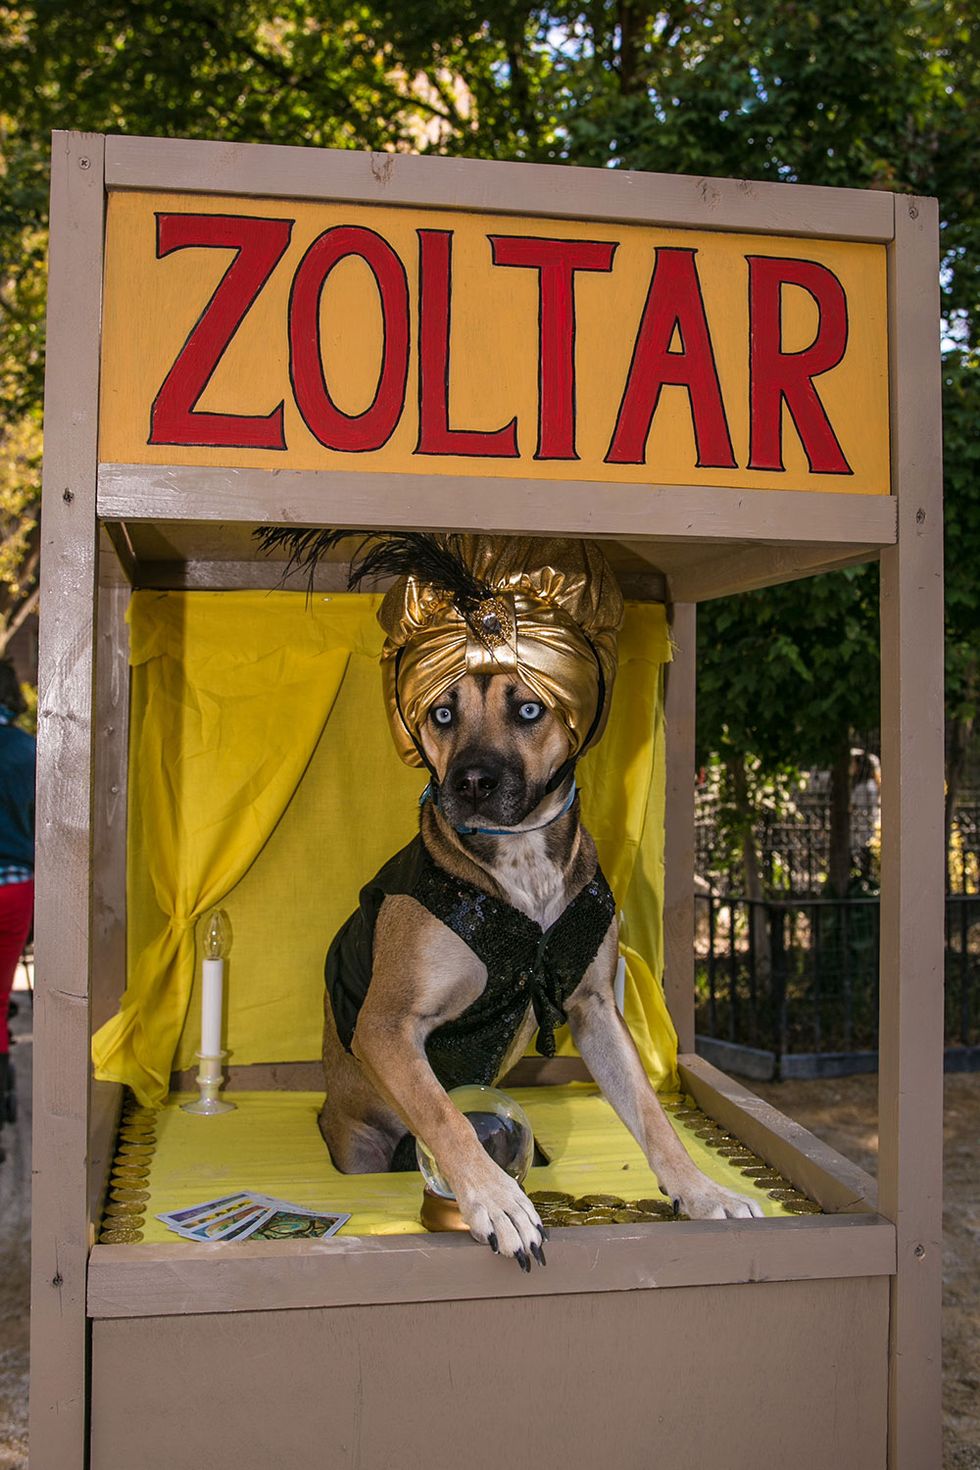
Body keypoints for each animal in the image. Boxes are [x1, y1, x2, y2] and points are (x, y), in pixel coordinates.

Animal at [318, 673, 764, 1270]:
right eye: (441, 714)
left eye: (529, 709)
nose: (471, 783)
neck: (522, 858)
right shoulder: (386, 1026)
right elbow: (444, 1114)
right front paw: (495, 1199)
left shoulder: (596, 1011)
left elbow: (652, 1115)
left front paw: (701, 1191)